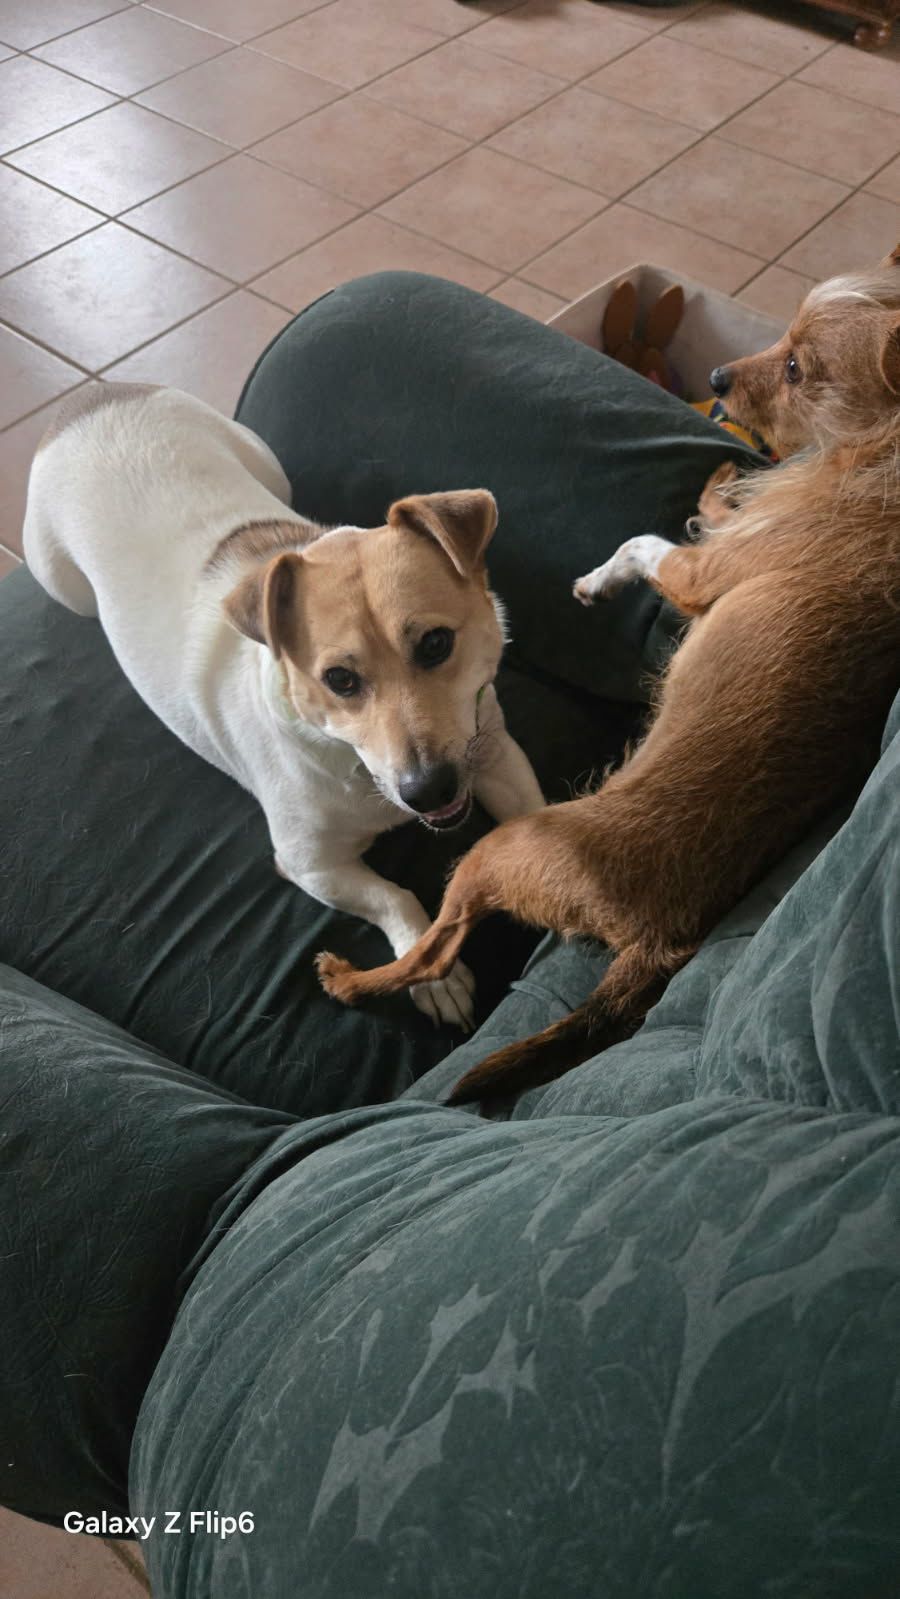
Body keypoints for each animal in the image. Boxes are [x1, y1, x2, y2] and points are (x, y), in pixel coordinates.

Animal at [23, 383, 544, 1031]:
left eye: (436, 644)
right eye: (339, 679)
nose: (428, 792)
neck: (357, 767)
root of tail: (92, 394)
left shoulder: (494, 752)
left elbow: (536, 815)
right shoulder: (309, 864)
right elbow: (393, 895)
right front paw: (431, 974)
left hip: (263, 462)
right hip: (59, 578)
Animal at [317, 246, 900, 1099]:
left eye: (797, 366)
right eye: (784, 337)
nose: (717, 377)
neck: (881, 457)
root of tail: (663, 938)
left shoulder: (700, 572)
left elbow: (642, 543)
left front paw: (598, 579)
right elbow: (709, 509)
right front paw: (718, 478)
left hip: (498, 851)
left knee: (437, 941)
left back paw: (347, 978)